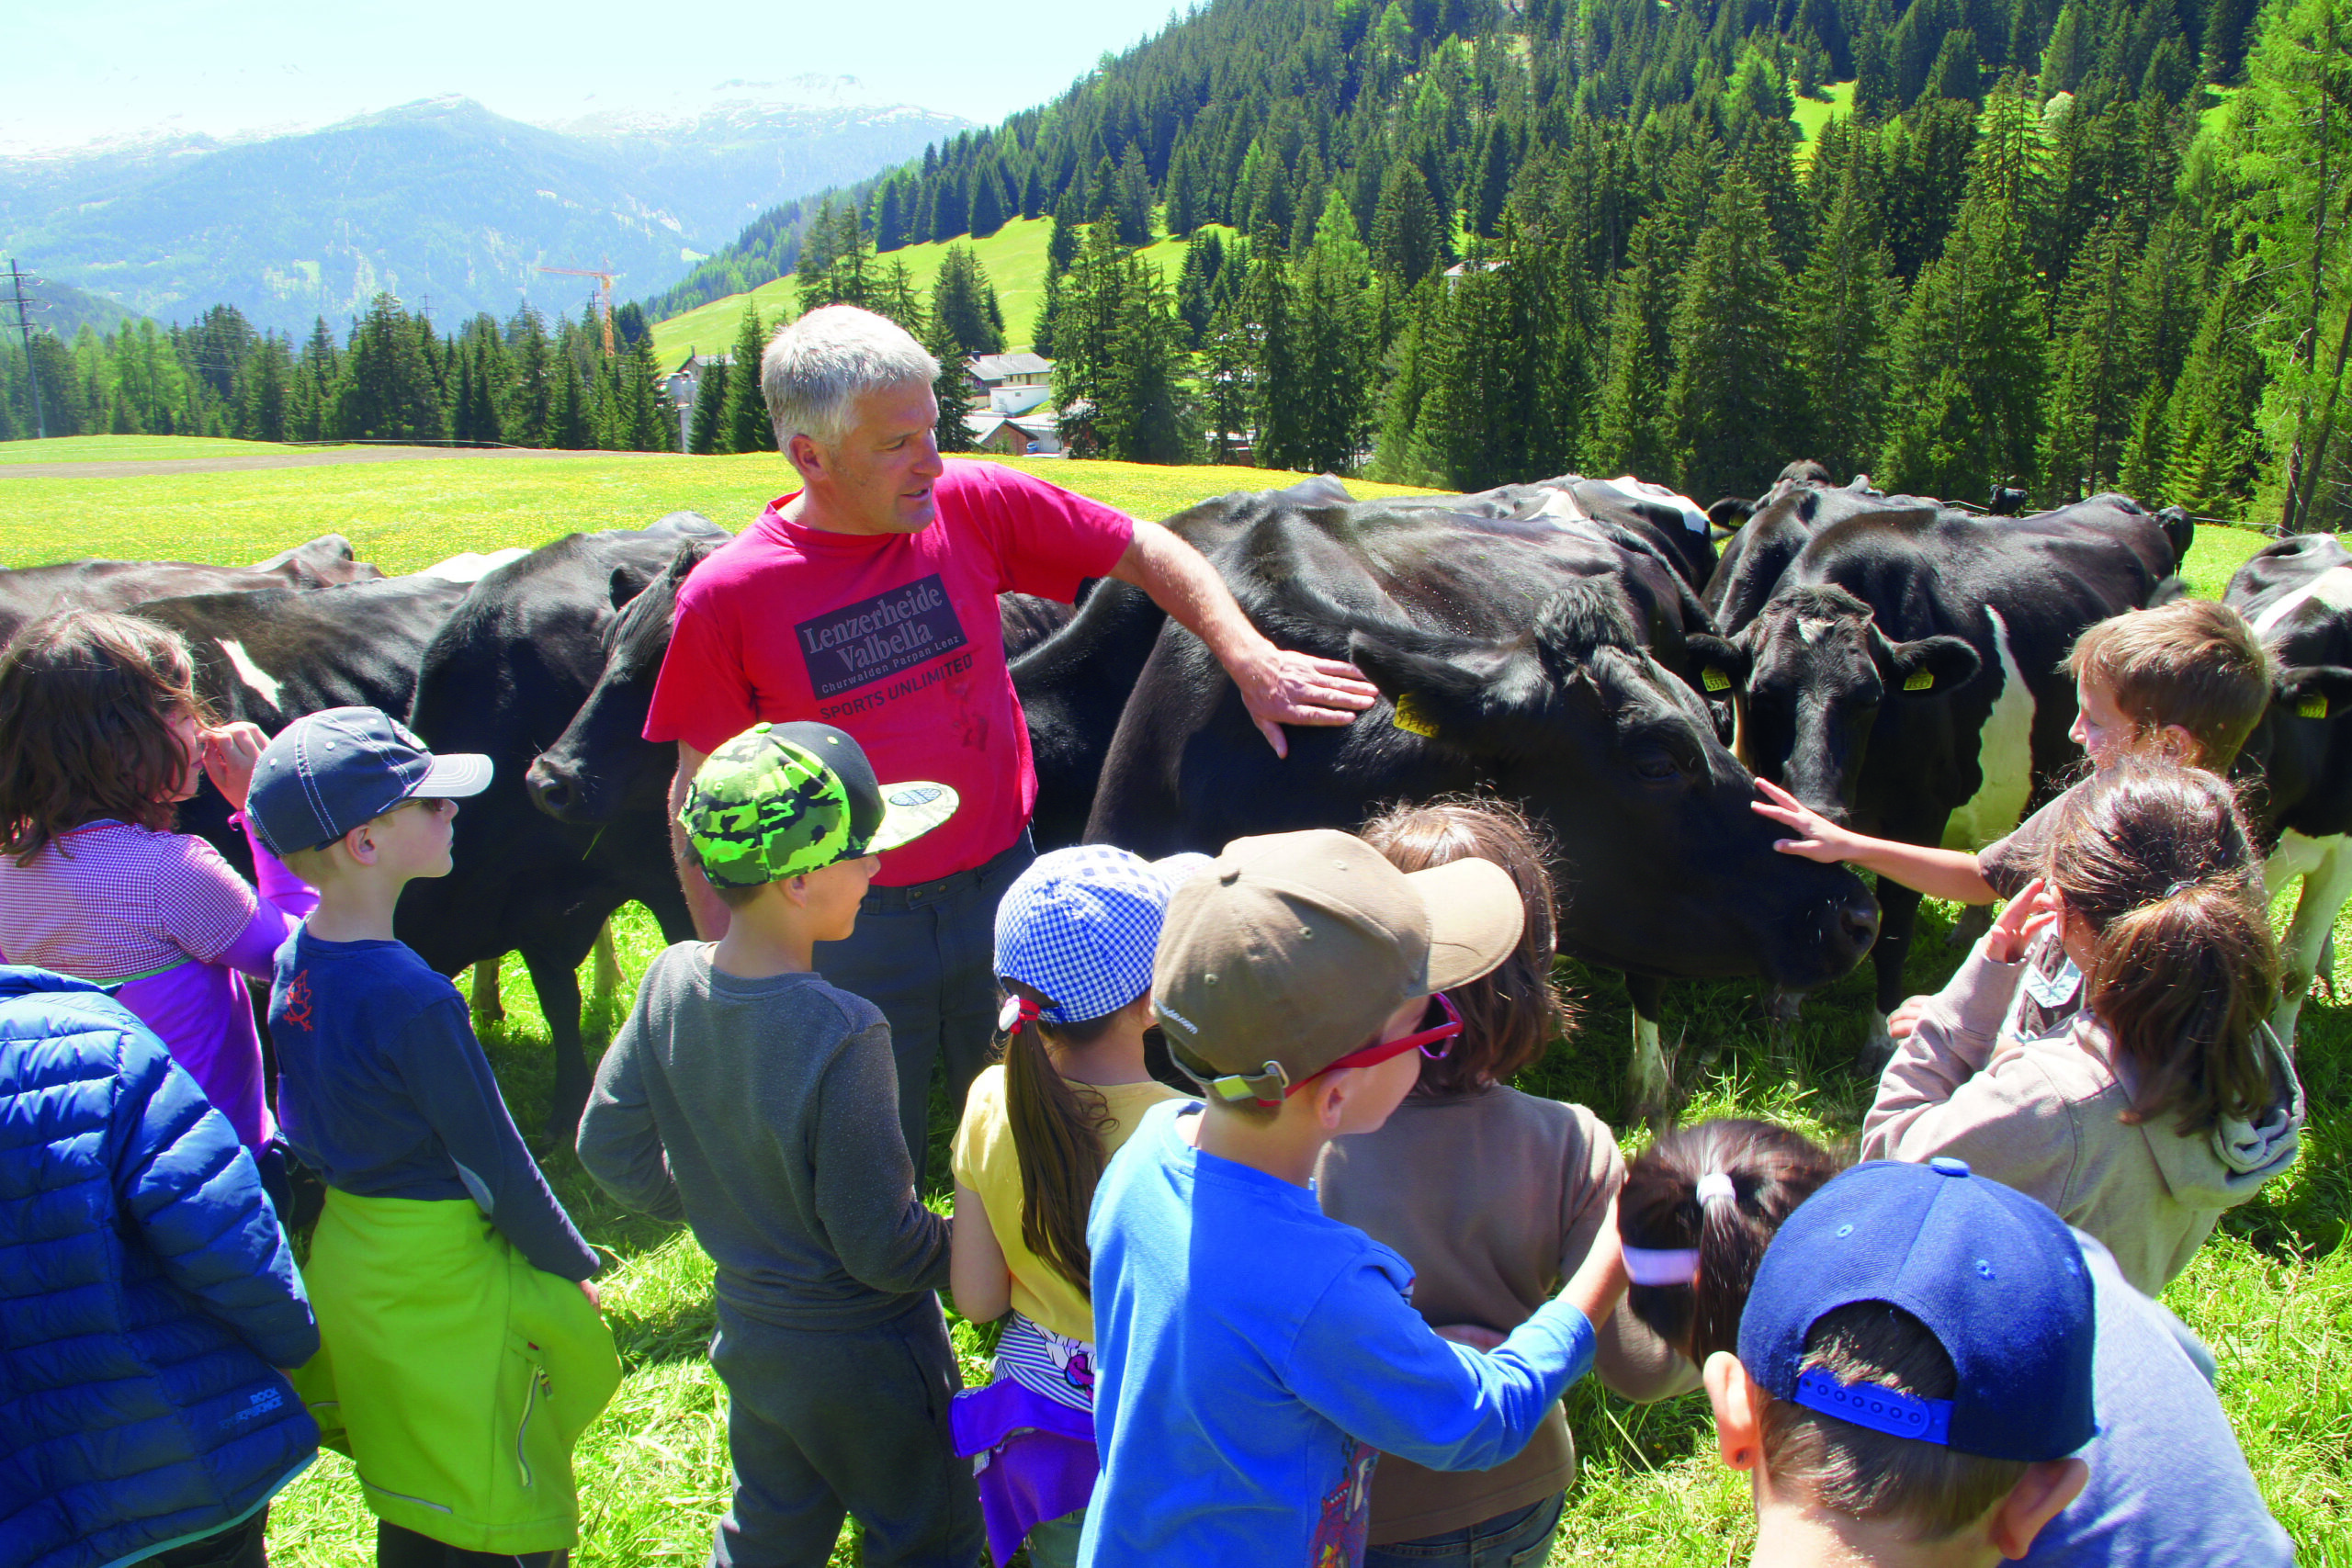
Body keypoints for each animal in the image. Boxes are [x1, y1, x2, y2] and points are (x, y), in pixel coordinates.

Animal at [1693, 491, 2182, 1053]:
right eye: (1763, 695)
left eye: (1872, 698)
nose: (1820, 812)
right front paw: (1786, 1008)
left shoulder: (1919, 815)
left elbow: (1894, 932)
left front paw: (1881, 1037)